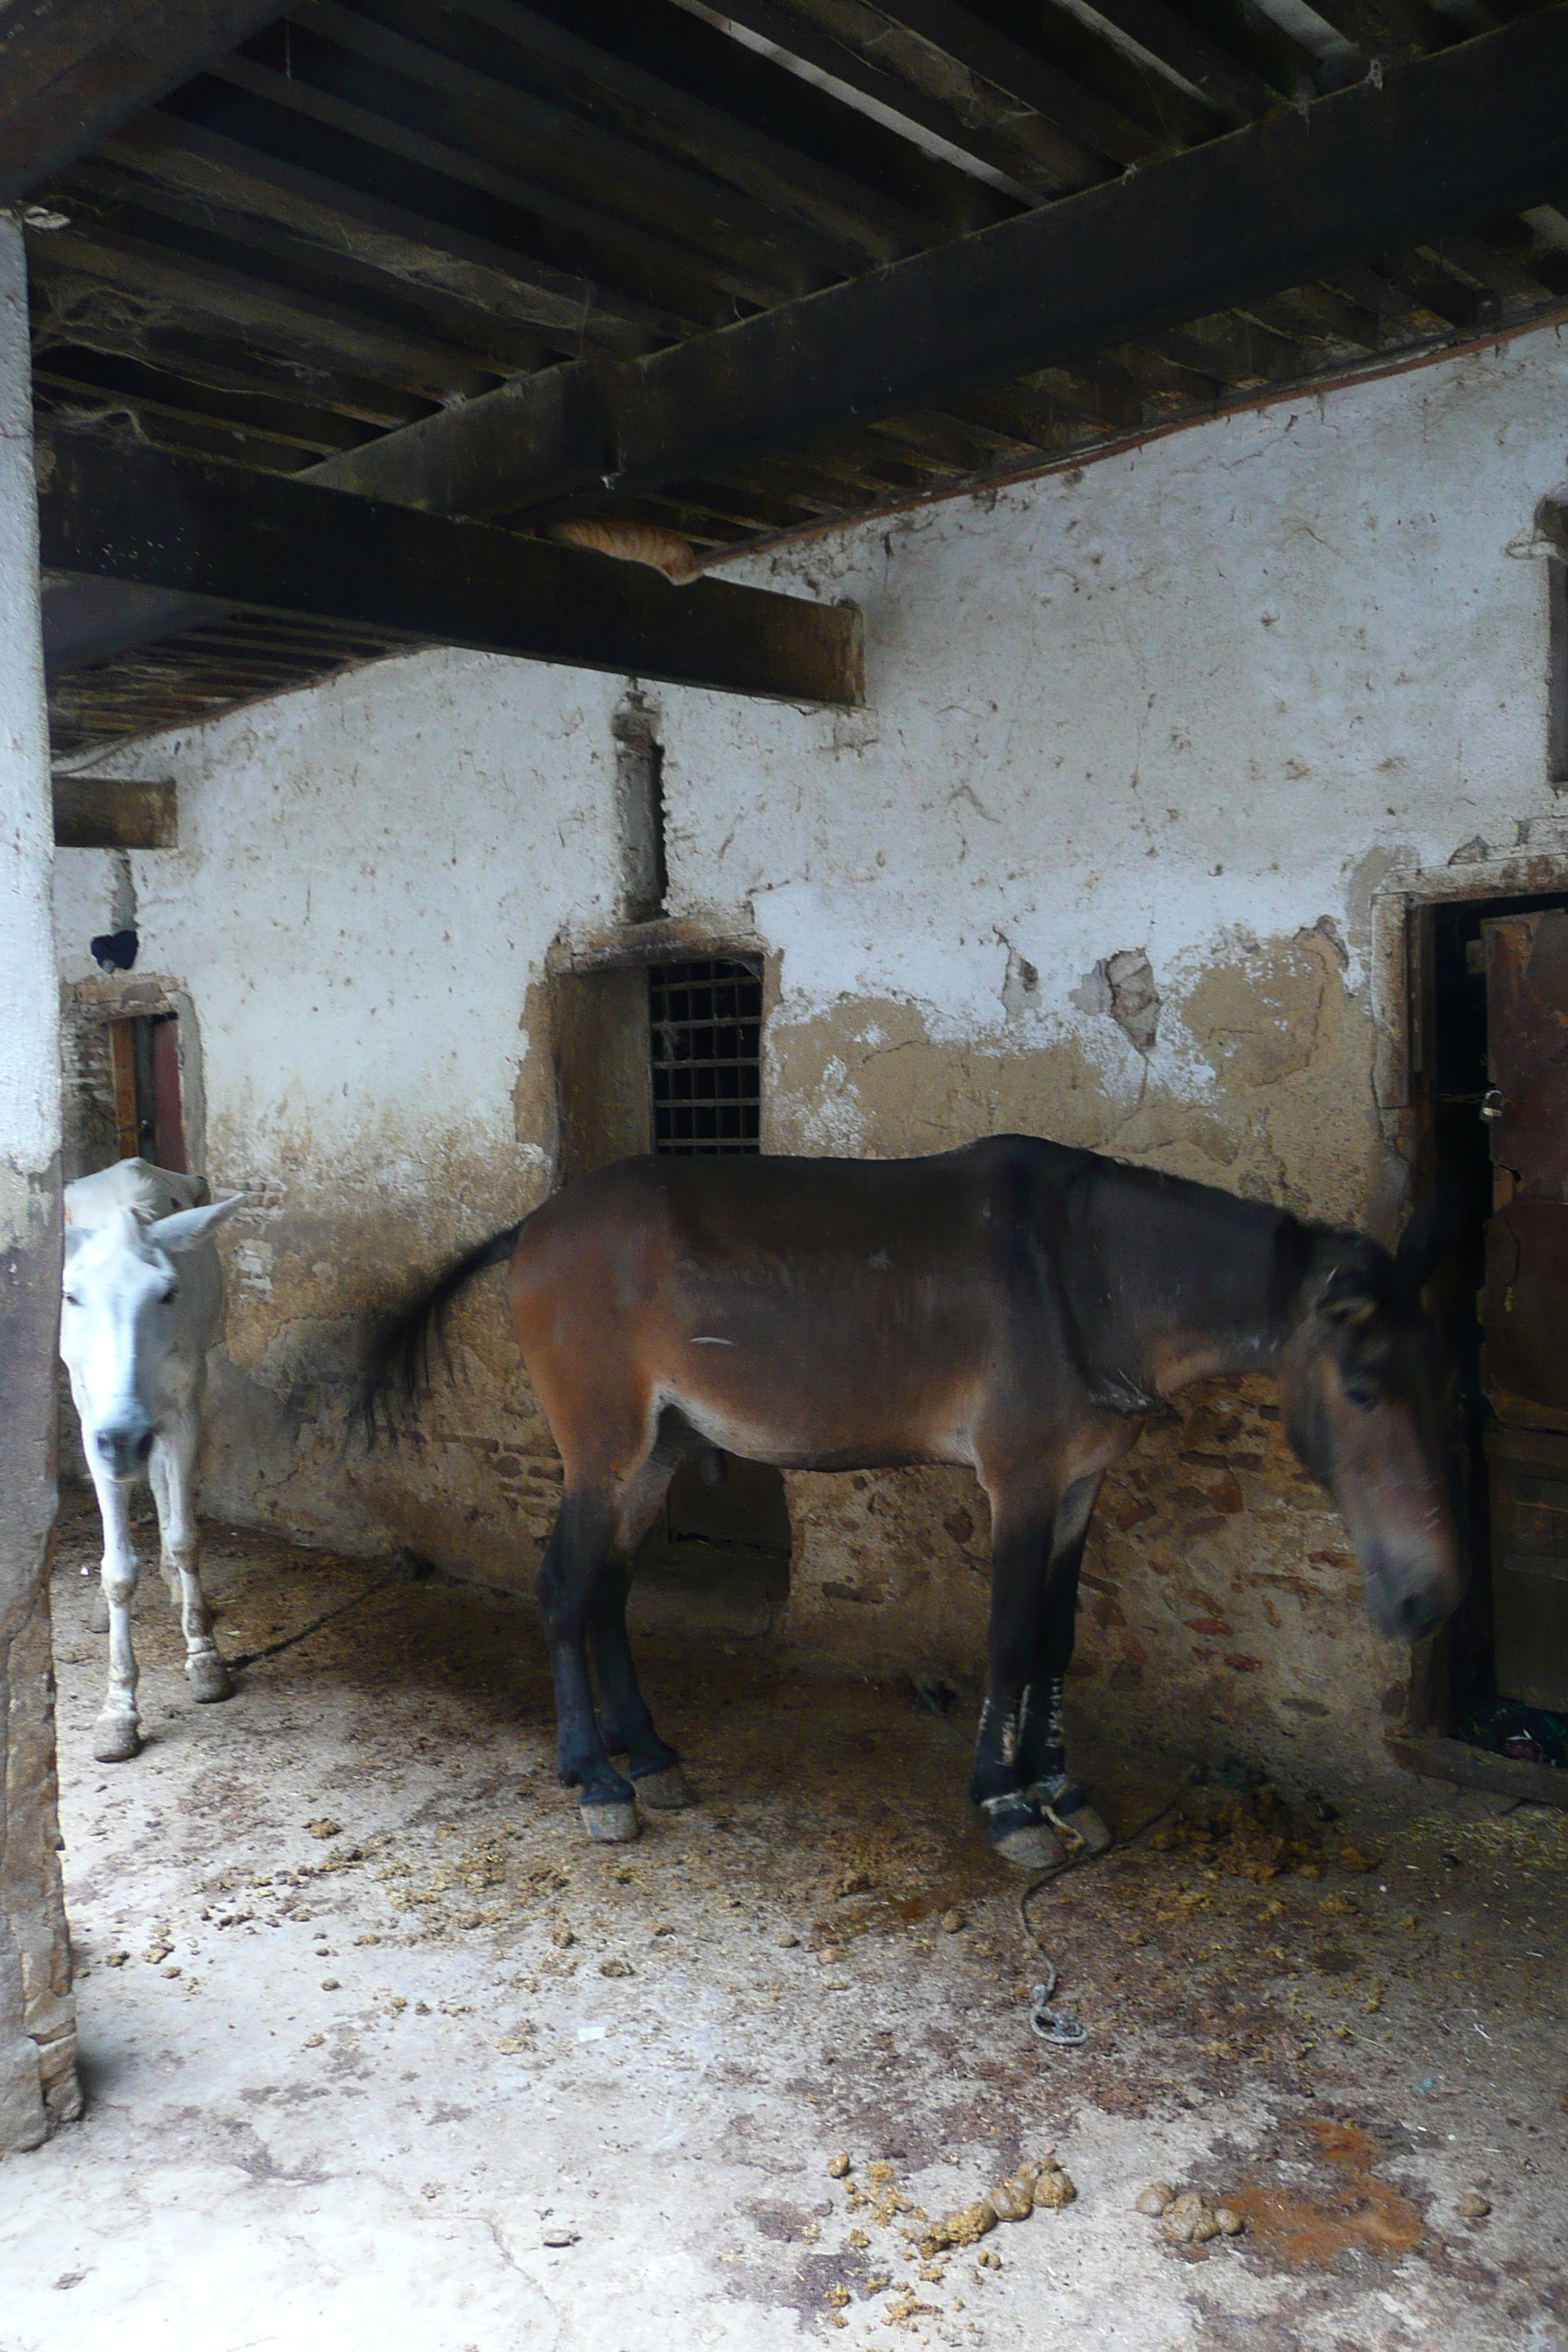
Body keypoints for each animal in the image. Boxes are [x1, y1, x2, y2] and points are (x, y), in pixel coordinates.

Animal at [362, 1142, 1466, 1872]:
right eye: (1362, 1388)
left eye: (1447, 1379)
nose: (1429, 1602)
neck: (1087, 1275)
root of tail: (534, 1225)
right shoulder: (1020, 1480)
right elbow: (1011, 1638)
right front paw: (1005, 1801)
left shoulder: (1079, 1484)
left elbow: (1058, 1638)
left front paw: (1060, 1787)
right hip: (603, 1449)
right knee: (562, 1590)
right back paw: (594, 1776)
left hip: (659, 1448)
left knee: (609, 1592)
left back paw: (652, 1755)